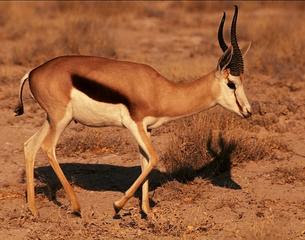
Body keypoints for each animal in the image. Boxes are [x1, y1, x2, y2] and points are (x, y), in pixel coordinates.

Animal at [15, 5, 251, 217]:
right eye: (231, 83)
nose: (248, 111)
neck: (161, 90)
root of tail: (33, 72)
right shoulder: (134, 124)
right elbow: (154, 158)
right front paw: (117, 206)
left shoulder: (147, 129)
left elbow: (145, 161)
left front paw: (147, 212)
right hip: (60, 119)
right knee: (47, 147)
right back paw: (75, 207)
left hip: (51, 119)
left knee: (30, 146)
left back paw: (34, 210)